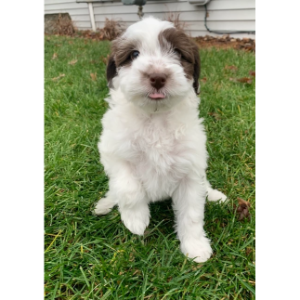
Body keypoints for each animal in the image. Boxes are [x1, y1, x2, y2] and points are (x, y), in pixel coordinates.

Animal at [95, 16, 226, 262]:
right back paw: (105, 204)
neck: (155, 118)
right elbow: (127, 187)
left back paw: (214, 195)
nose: (157, 77)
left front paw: (195, 247)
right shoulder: (114, 152)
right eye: (134, 54)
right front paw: (136, 220)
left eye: (177, 53)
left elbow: (192, 212)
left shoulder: (190, 170)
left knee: (204, 185)